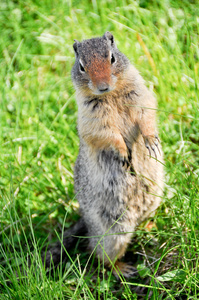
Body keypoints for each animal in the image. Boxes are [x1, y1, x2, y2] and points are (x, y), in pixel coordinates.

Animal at [44, 32, 163, 276]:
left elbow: (147, 114)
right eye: (82, 66)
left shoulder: (141, 95)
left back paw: (149, 225)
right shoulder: (92, 117)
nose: (102, 86)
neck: (112, 95)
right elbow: (107, 134)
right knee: (99, 255)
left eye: (112, 58)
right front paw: (123, 153)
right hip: (112, 234)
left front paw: (151, 141)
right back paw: (123, 268)